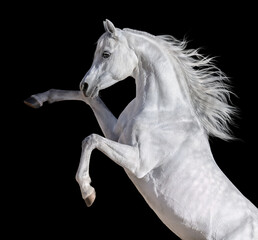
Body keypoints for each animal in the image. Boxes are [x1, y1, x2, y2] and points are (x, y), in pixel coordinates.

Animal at [24, 19, 258, 239]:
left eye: (106, 54)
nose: (85, 85)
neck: (163, 112)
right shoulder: (116, 135)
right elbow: (91, 102)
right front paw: (37, 99)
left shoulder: (138, 163)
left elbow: (91, 139)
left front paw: (88, 192)